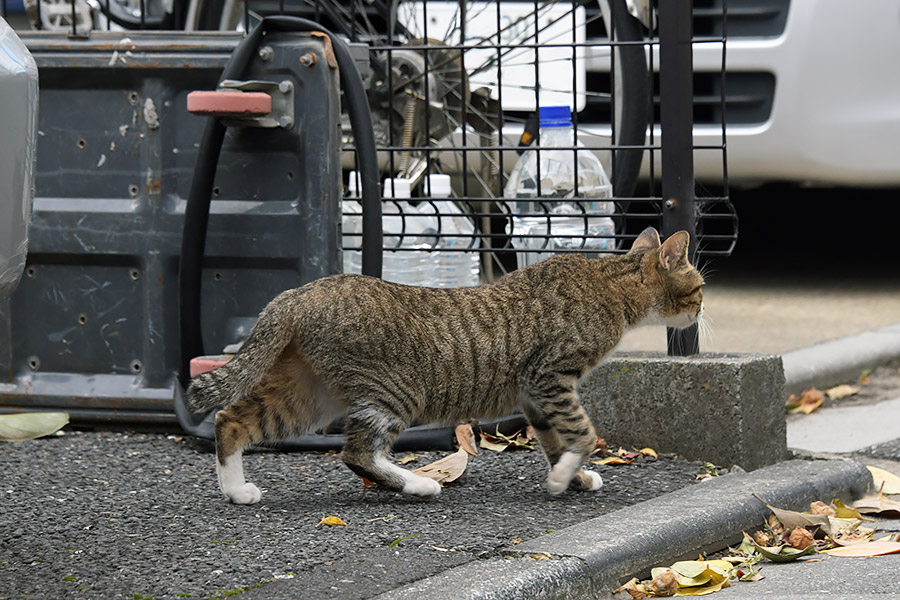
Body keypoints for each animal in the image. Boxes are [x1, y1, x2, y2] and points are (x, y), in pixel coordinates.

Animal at [186, 227, 704, 504]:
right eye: (699, 287)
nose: (702, 311)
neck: (609, 280)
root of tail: (298, 293)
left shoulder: (536, 396)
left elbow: (557, 442)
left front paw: (570, 476)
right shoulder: (550, 377)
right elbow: (580, 431)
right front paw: (563, 478)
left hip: (308, 395)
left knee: (231, 420)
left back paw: (236, 490)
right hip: (395, 390)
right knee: (357, 452)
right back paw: (417, 484)